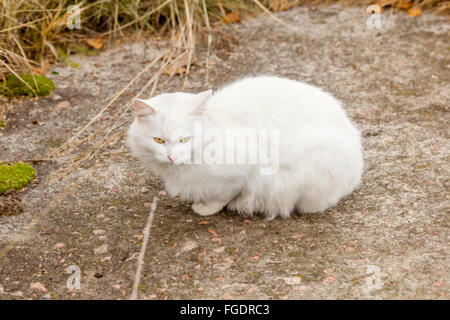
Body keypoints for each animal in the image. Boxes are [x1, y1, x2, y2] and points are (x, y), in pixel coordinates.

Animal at [125, 75, 362, 220]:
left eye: (184, 139)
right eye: (159, 140)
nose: (172, 157)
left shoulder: (245, 168)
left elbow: (224, 194)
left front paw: (206, 208)